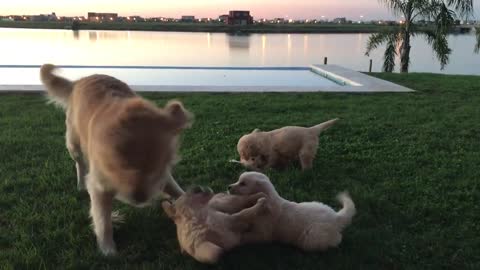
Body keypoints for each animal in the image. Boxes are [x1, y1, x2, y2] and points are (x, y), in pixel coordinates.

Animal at [39, 65, 193, 255]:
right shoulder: (99, 186)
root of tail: (80, 80)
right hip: (73, 144)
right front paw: (108, 250)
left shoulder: (163, 175)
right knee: (79, 164)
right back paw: (80, 183)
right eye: (121, 168)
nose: (140, 199)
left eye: (157, 170)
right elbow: (103, 221)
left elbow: (176, 189)